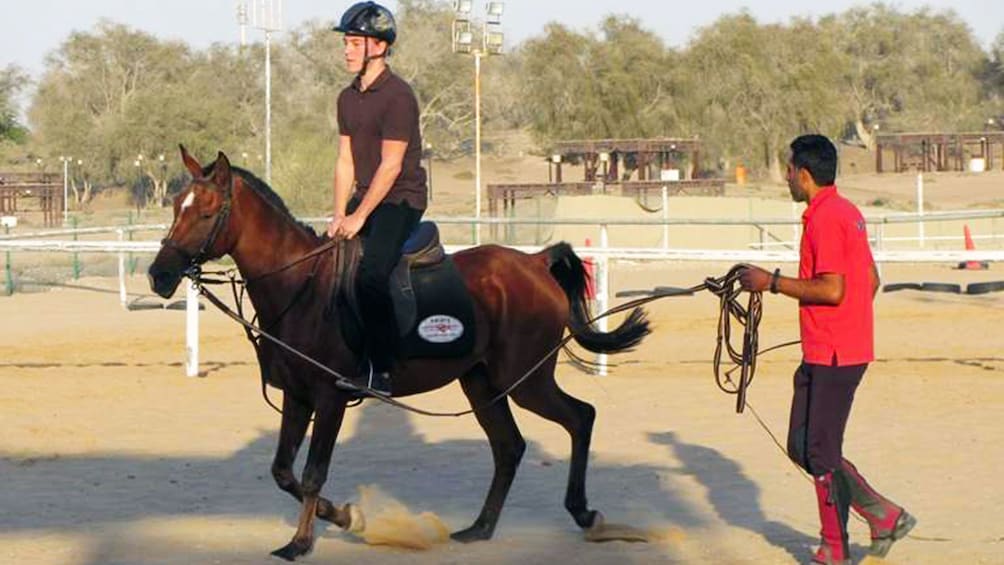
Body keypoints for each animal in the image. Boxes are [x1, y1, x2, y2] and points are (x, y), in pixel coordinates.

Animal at [148, 148, 650, 557]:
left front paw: (301, 542)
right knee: (510, 446)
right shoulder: (297, 396)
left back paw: (584, 513)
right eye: (175, 207)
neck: (301, 286)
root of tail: (533, 262)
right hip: (482, 382)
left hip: (527, 380)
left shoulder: (330, 397)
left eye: (206, 212)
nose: (159, 275)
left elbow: (311, 473)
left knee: (580, 417)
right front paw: (343, 516)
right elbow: (282, 472)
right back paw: (480, 528)